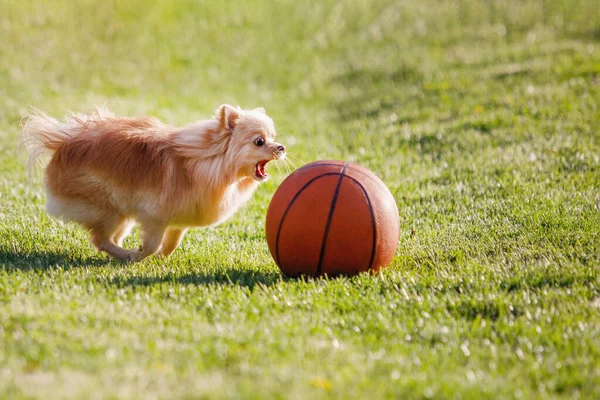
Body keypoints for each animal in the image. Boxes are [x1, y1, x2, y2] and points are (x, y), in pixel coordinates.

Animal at [21, 104, 286, 260]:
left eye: (274, 137)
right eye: (260, 141)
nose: (281, 147)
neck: (208, 162)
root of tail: (64, 142)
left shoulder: (181, 216)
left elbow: (171, 242)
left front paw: (160, 256)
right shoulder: (153, 216)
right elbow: (152, 244)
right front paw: (140, 254)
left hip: (121, 214)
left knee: (108, 239)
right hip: (108, 208)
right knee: (101, 239)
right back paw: (126, 255)